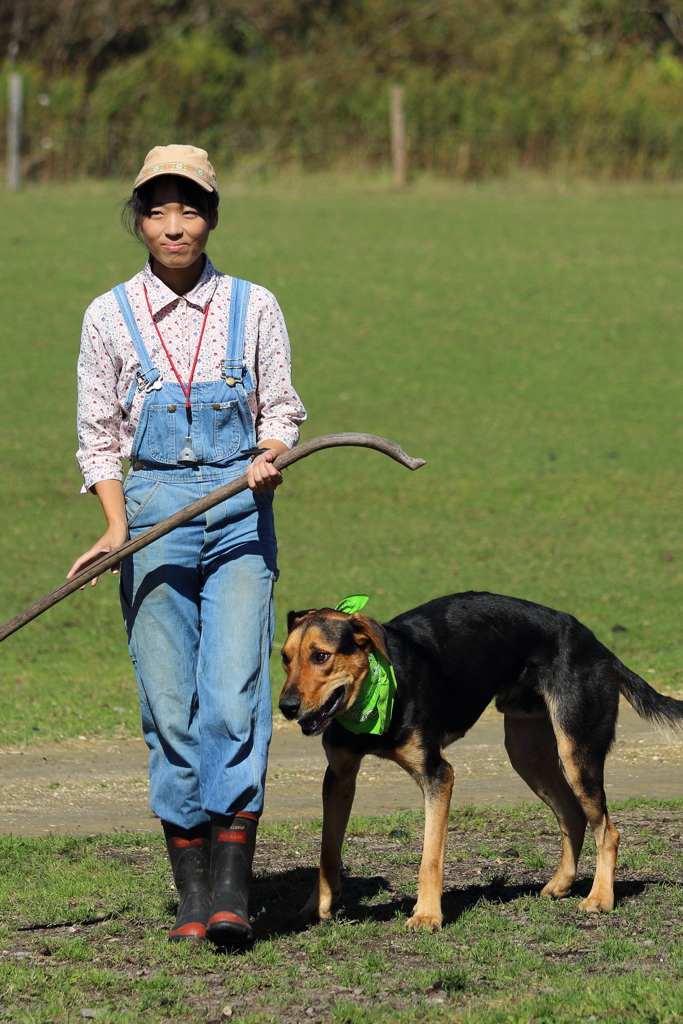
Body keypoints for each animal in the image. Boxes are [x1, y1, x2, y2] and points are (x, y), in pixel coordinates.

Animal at [278, 593, 683, 937]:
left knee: (607, 830)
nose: (286, 707)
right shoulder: (339, 777)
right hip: (526, 754)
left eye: (321, 656)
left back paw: (600, 898)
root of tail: (598, 647)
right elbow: (328, 853)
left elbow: (430, 858)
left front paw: (427, 915)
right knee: (573, 816)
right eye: (284, 657)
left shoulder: (437, 775)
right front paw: (317, 907)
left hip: (576, 753)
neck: (374, 693)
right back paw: (561, 884)